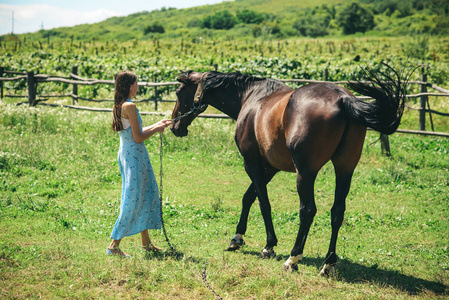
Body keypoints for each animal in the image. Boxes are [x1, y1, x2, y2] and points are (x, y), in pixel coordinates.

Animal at [172, 64, 410, 276]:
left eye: (178, 92)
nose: (175, 126)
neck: (251, 98)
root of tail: (343, 99)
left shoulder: (252, 163)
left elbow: (263, 202)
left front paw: (268, 246)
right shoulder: (270, 168)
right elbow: (249, 197)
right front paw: (237, 238)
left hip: (305, 173)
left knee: (308, 210)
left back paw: (293, 259)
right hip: (345, 169)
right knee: (337, 212)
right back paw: (328, 264)